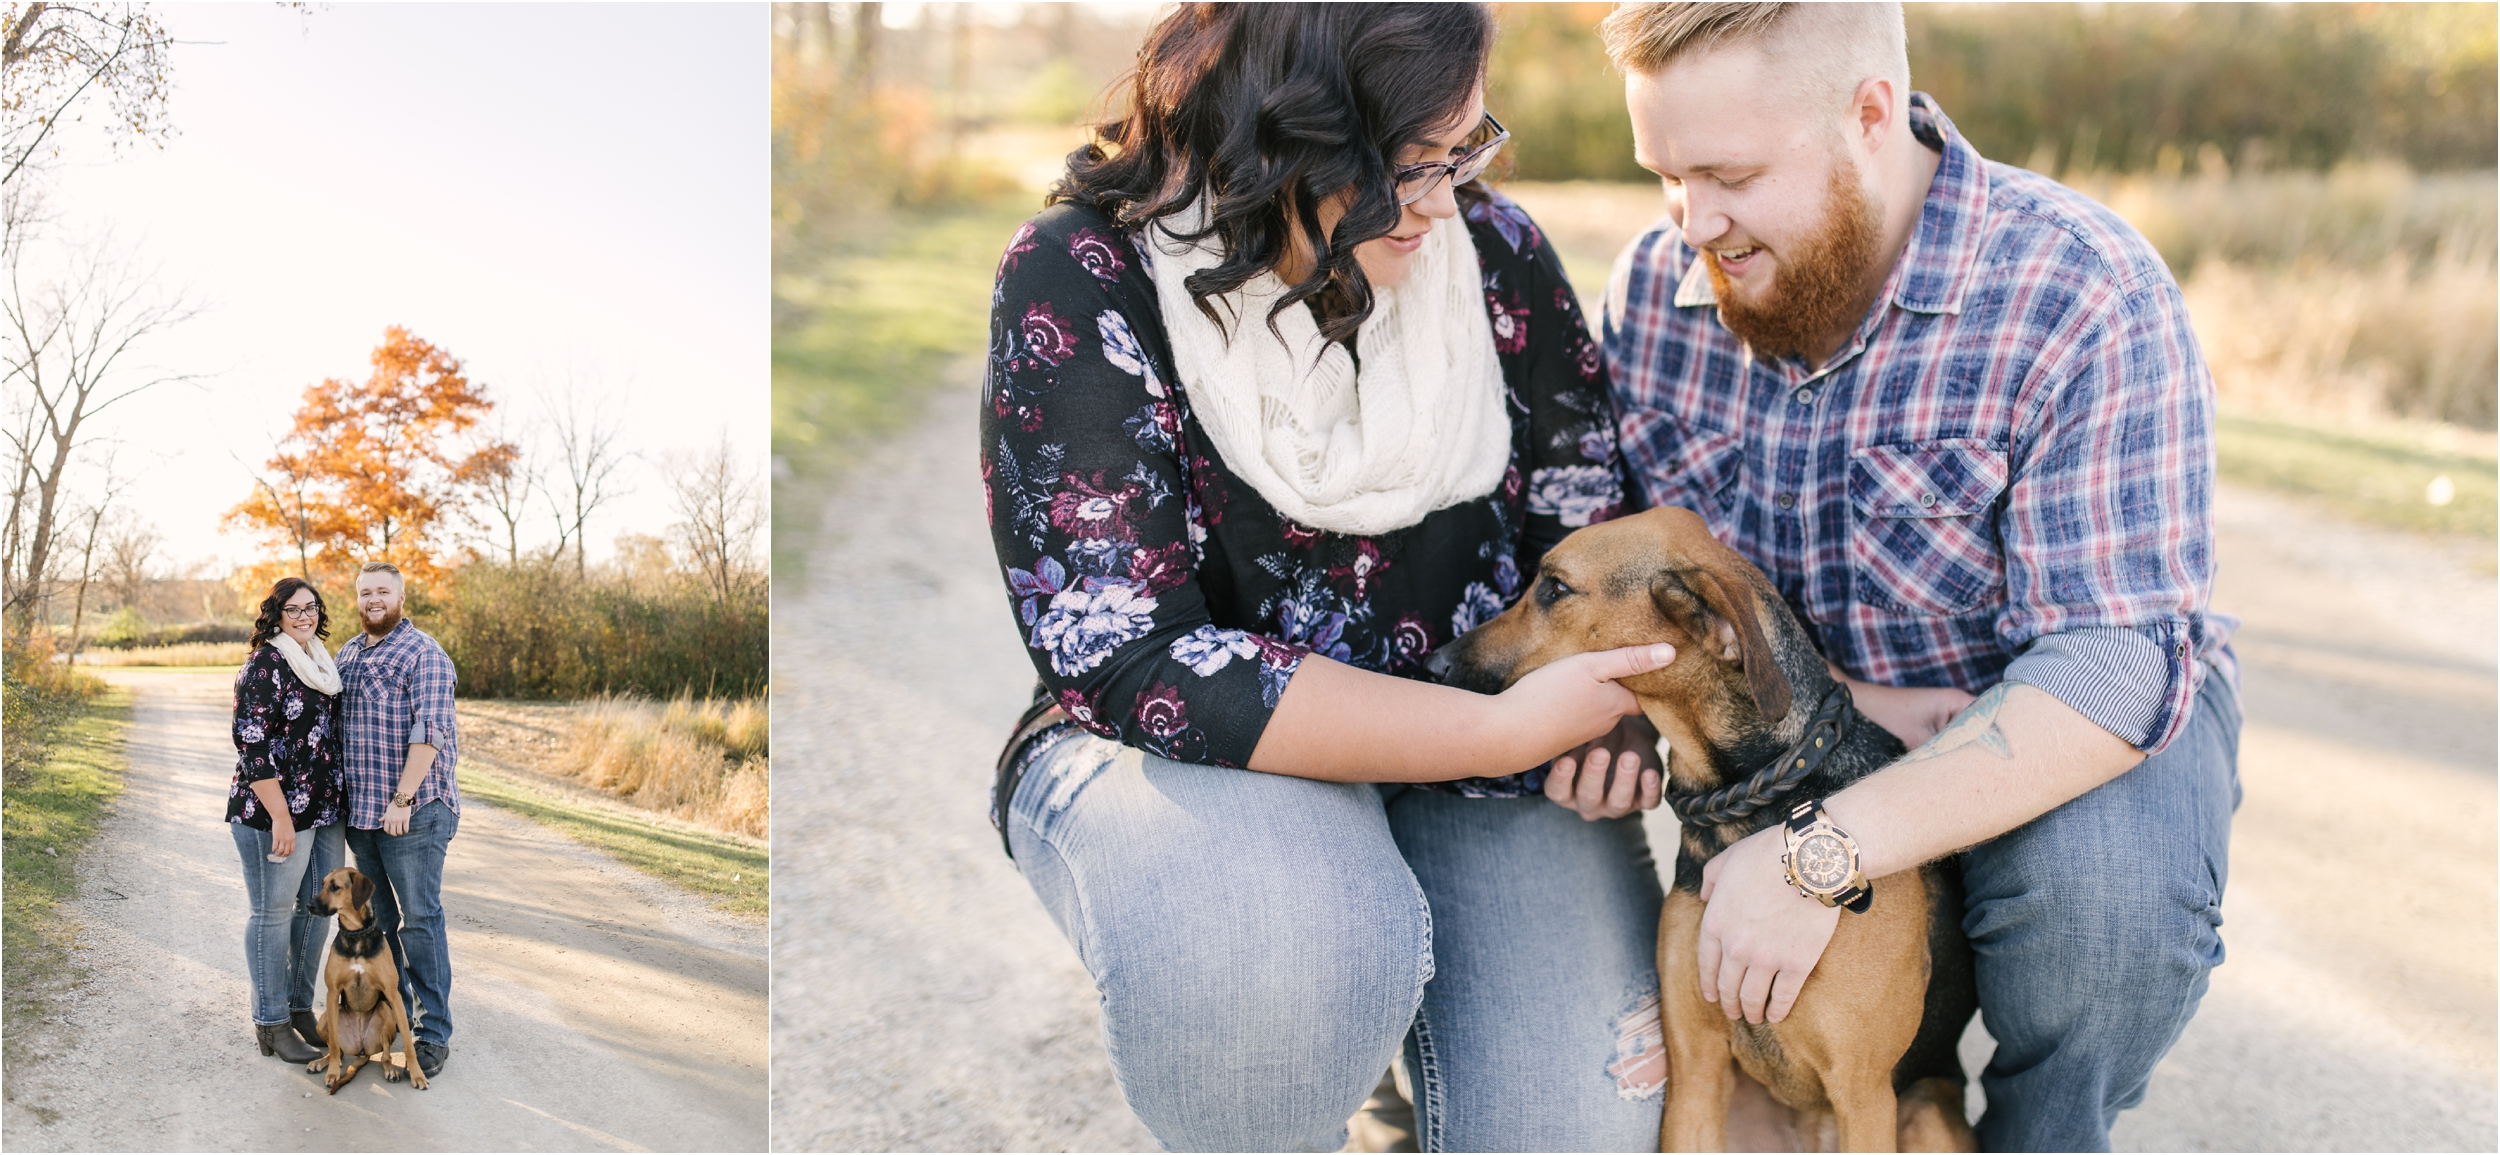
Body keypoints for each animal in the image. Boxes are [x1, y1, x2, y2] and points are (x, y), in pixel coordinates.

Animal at [301, 865, 425, 1090]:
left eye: (335, 887)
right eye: (322, 884)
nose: (309, 905)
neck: (356, 934)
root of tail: (361, 1050)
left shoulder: (393, 994)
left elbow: (408, 1045)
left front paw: (417, 1074)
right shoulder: (333, 992)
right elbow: (333, 1045)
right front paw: (333, 1072)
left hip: (385, 1011)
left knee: (385, 1056)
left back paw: (390, 1070)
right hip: (325, 1018)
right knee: (338, 1050)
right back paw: (321, 1062)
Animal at [1440, 512, 1980, 1155]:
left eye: (1554, 588)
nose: (1437, 664)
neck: (1753, 800)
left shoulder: (1863, 1092)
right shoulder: (1694, 1072)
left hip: (1923, 1112)